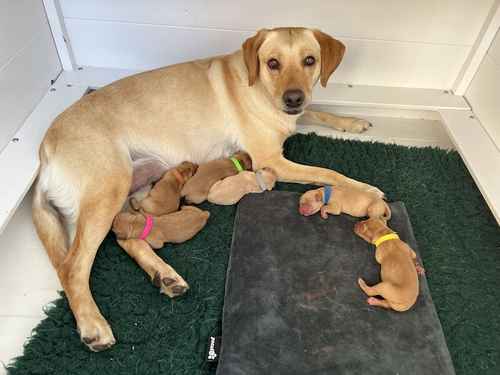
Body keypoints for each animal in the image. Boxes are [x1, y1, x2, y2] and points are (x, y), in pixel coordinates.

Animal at [33, 27, 380, 352]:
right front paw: (365, 189)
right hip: (108, 189)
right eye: (273, 63)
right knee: (72, 268)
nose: (293, 98)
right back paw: (93, 324)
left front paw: (350, 121)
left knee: (126, 238)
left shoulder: (296, 115)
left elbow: (318, 109)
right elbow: (328, 172)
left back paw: (165, 275)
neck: (261, 88)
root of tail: (44, 152)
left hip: (130, 190)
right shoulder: (271, 160)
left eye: (310, 60)